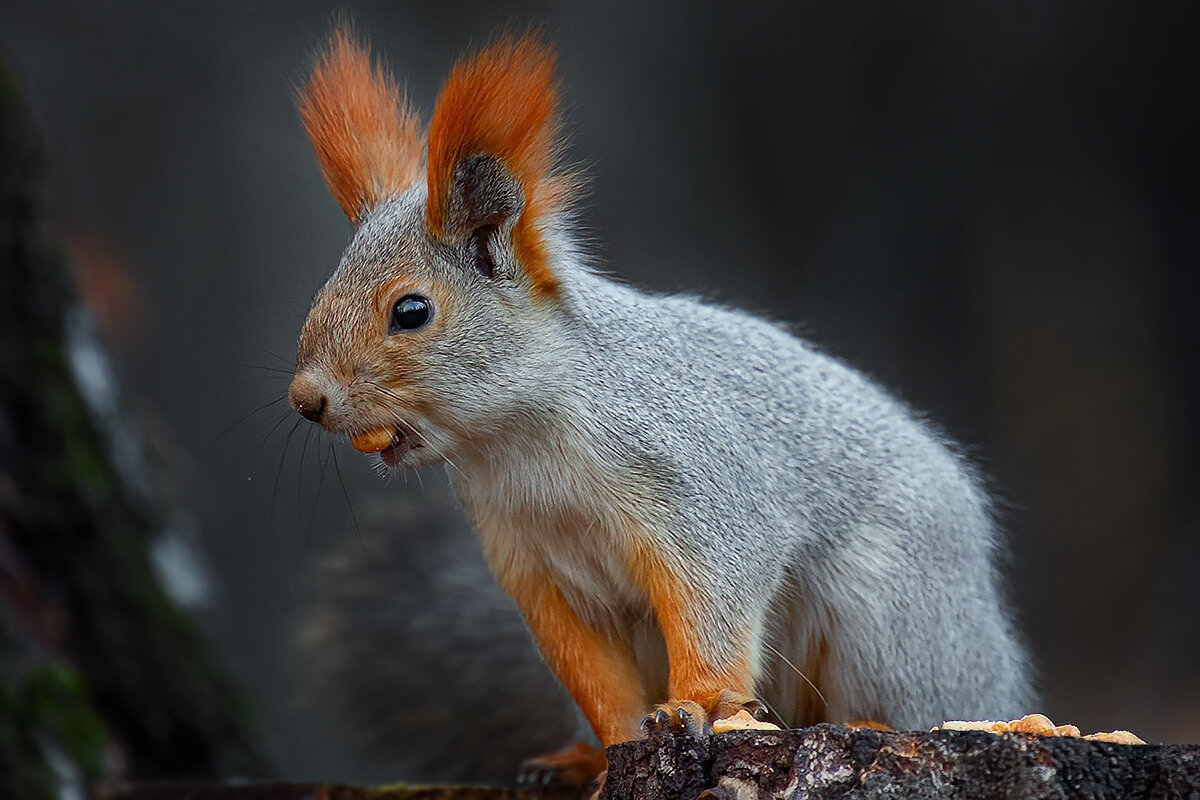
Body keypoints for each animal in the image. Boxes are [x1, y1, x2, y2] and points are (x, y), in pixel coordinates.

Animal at [288, 28, 1032, 786]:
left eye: (411, 311)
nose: (306, 398)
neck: (521, 437)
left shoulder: (696, 488)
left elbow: (717, 600)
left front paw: (699, 705)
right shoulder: (537, 570)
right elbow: (593, 676)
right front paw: (614, 749)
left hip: (894, 614)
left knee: (920, 699)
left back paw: (874, 724)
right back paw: (576, 756)